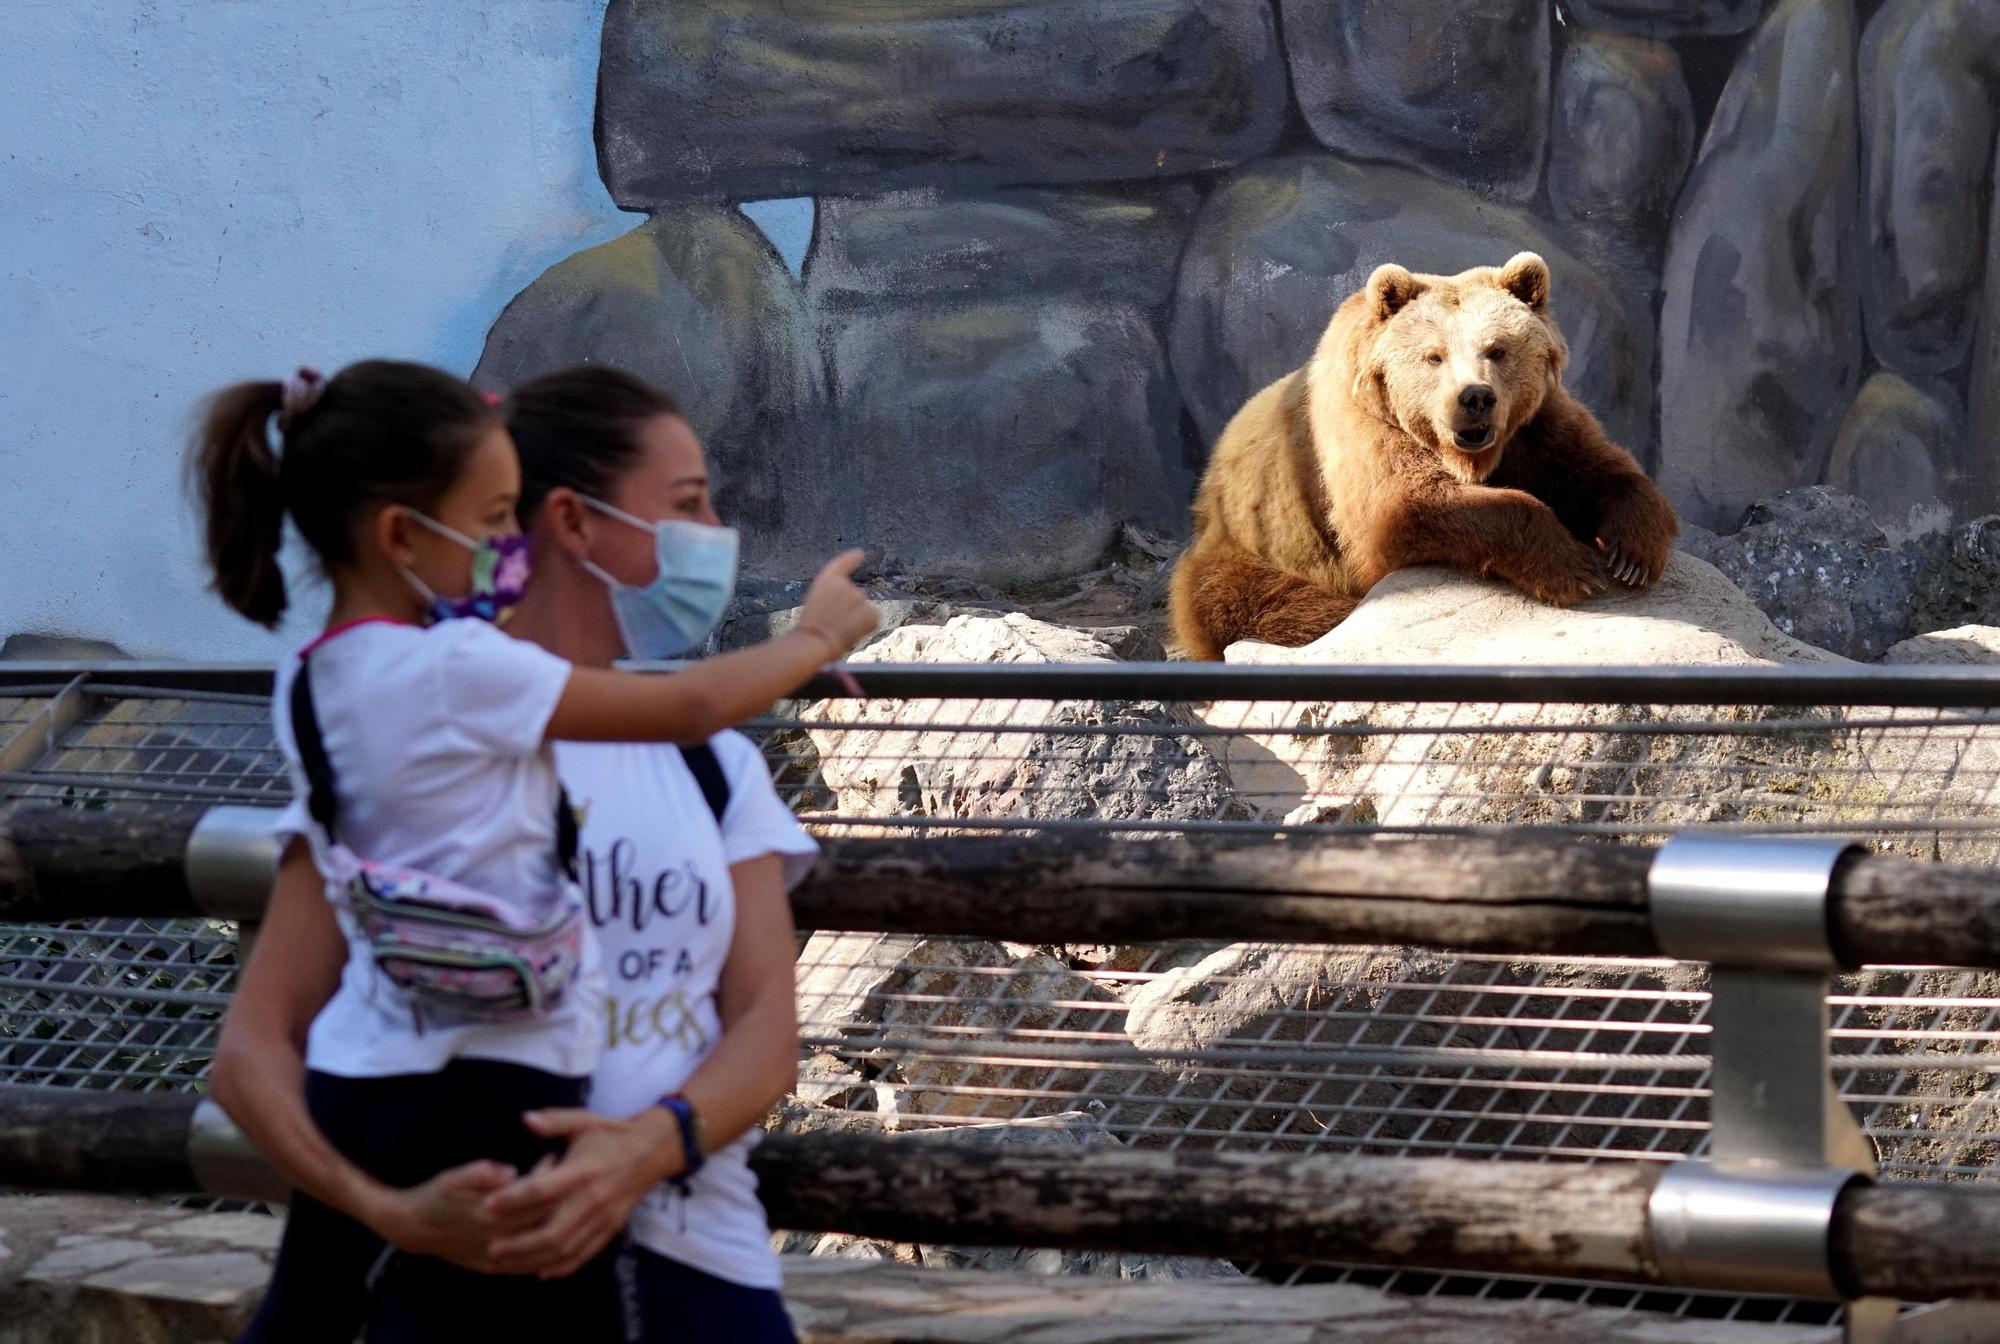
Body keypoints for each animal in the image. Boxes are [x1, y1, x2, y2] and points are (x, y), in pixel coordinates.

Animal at [1168, 252, 1680, 660]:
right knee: (1265, 604)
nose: (1475, 397)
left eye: (1497, 349)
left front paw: (1631, 554)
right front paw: (1574, 568)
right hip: (1253, 547)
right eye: (1433, 356)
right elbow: (1403, 507)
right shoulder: (1360, 427)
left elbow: (1599, 469)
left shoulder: (1536, 428)